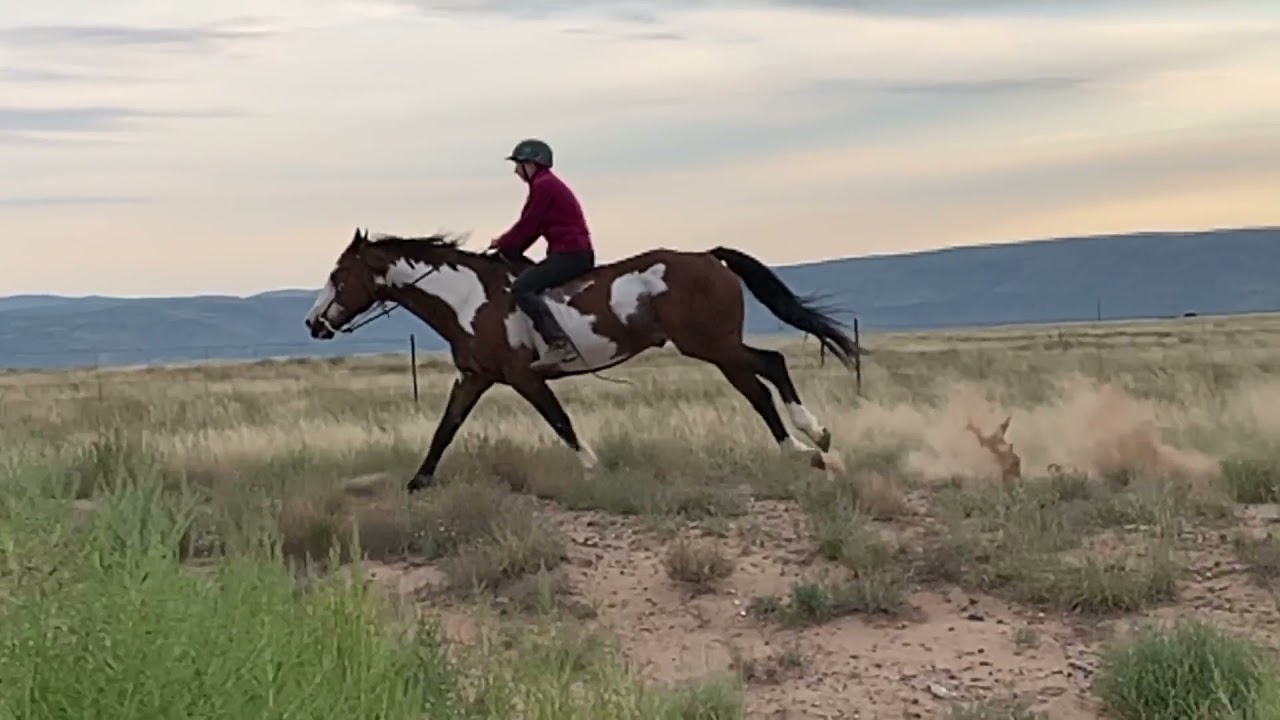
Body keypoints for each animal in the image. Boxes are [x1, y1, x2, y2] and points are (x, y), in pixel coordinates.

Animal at [304, 228, 861, 493]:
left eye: (338, 275)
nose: (313, 324)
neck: (468, 300)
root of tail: (708, 256)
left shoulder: (522, 377)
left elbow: (560, 422)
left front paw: (593, 469)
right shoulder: (476, 378)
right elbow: (446, 429)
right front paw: (418, 482)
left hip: (712, 344)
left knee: (769, 370)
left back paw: (813, 439)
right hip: (714, 347)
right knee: (758, 384)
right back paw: (801, 448)